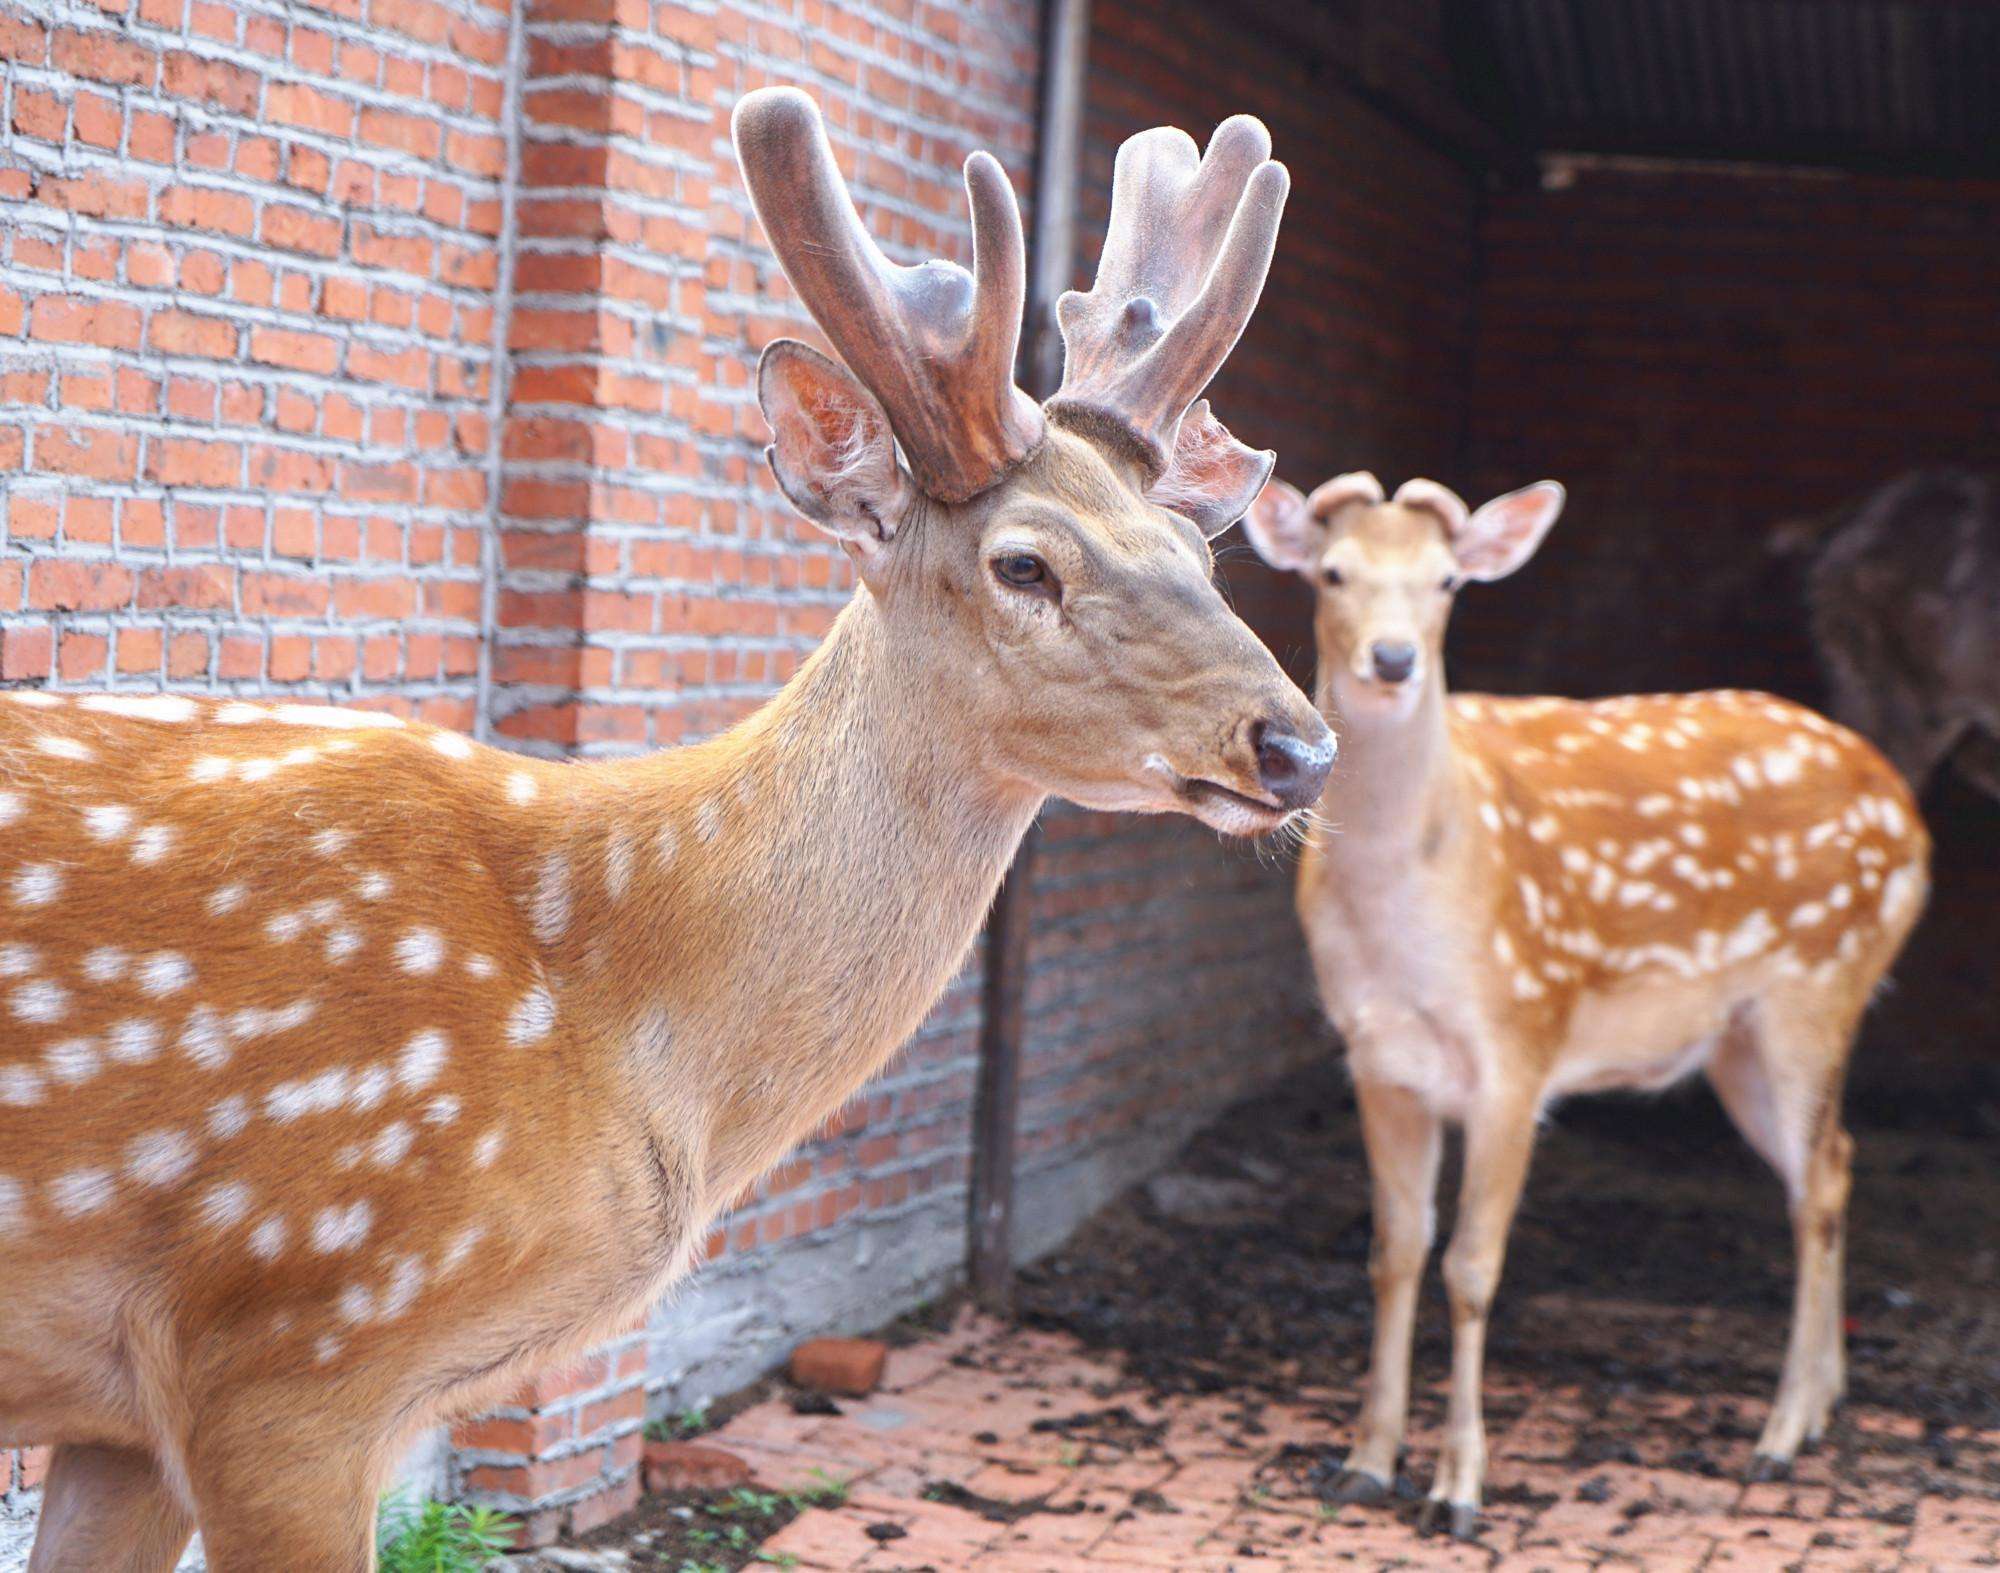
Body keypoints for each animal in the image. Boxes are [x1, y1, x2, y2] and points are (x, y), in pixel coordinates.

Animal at [3, 92, 1344, 1560]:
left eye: (1201, 555)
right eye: (1024, 562)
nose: (1299, 744)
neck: (619, 1031)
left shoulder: (129, 1419)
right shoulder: (286, 1344)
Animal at [1240, 472, 1928, 1528]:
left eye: (1447, 580)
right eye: (1333, 572)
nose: (1393, 659)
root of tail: (1910, 818)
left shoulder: (1522, 1041)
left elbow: (1471, 1268)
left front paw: (1458, 1486)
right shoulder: (1376, 1056)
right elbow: (1395, 1252)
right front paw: (1365, 1460)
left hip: (1821, 983)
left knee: (1816, 1183)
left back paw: (1779, 1435)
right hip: (1738, 1040)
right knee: (1836, 1161)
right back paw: (1821, 1403)